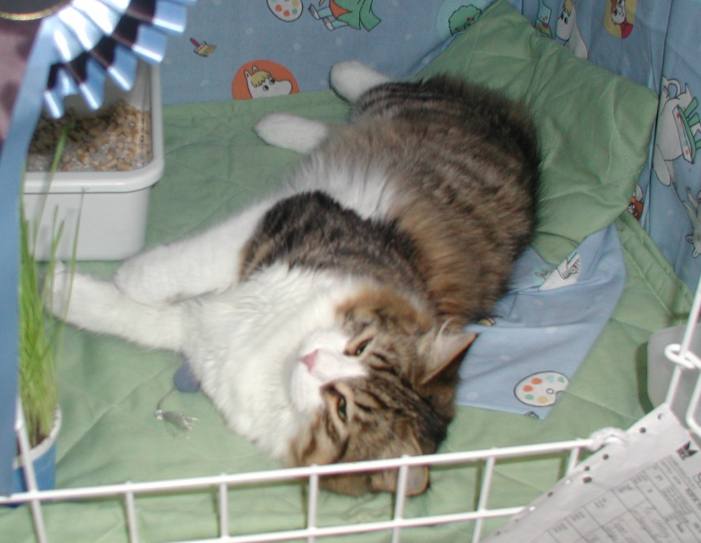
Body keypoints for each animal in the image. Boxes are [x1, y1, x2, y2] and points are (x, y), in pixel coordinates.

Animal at [49, 61, 540, 496]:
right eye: (360, 346)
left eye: (341, 407)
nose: (312, 360)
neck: (275, 344)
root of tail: (520, 137)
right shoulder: (294, 216)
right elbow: (182, 266)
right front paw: (123, 275)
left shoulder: (204, 328)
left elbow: (132, 317)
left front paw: (62, 290)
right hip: (394, 106)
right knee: (370, 87)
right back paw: (310, 97)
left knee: (339, 123)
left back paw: (278, 123)